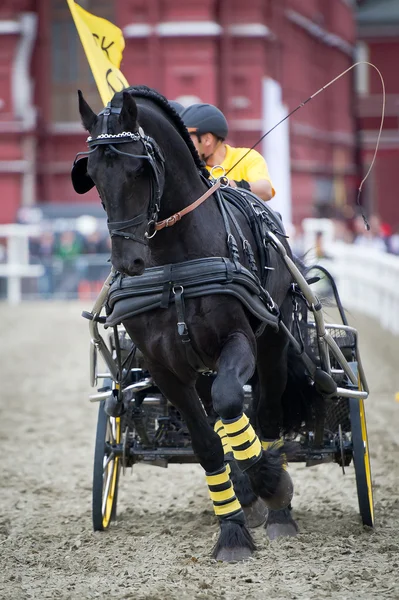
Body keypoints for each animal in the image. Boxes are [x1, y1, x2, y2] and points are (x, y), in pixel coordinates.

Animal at [72, 85, 310, 564]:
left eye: (138, 169)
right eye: (93, 174)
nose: (129, 262)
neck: (174, 263)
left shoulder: (238, 340)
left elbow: (232, 401)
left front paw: (270, 485)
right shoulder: (164, 366)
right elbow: (205, 441)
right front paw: (233, 530)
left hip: (272, 341)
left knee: (266, 413)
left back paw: (277, 509)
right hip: (198, 364)